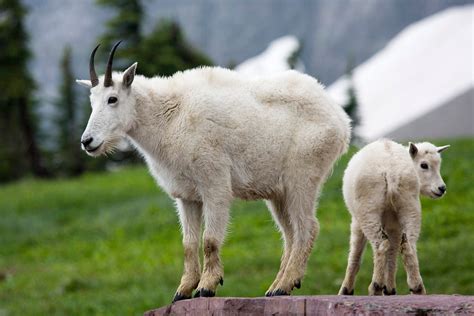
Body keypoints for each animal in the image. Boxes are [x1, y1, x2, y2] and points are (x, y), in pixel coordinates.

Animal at [78, 42, 350, 302]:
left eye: (112, 99)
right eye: (91, 101)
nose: (87, 141)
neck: (169, 118)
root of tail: (341, 120)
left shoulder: (214, 183)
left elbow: (209, 240)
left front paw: (207, 286)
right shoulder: (186, 196)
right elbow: (188, 243)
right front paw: (182, 291)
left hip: (302, 177)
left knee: (307, 227)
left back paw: (285, 284)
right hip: (278, 193)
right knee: (289, 233)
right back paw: (276, 287)